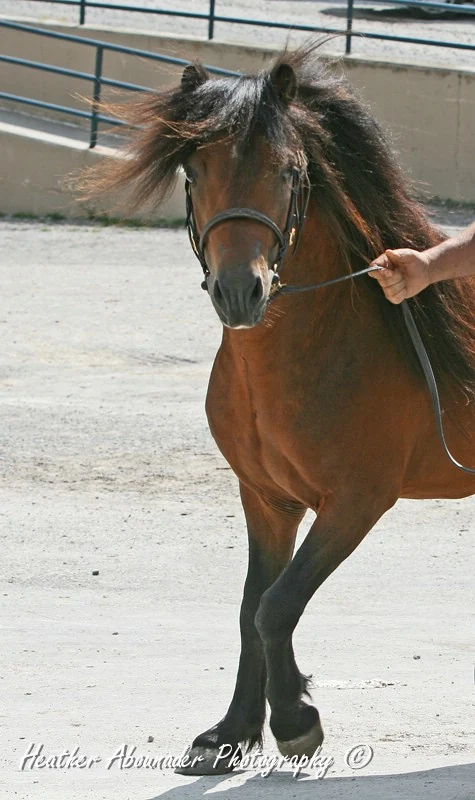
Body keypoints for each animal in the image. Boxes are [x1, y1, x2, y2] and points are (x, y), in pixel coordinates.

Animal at [81, 43, 475, 774]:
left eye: (287, 171)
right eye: (193, 170)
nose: (241, 291)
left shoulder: (356, 501)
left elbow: (277, 604)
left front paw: (295, 718)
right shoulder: (266, 498)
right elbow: (249, 608)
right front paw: (231, 732)